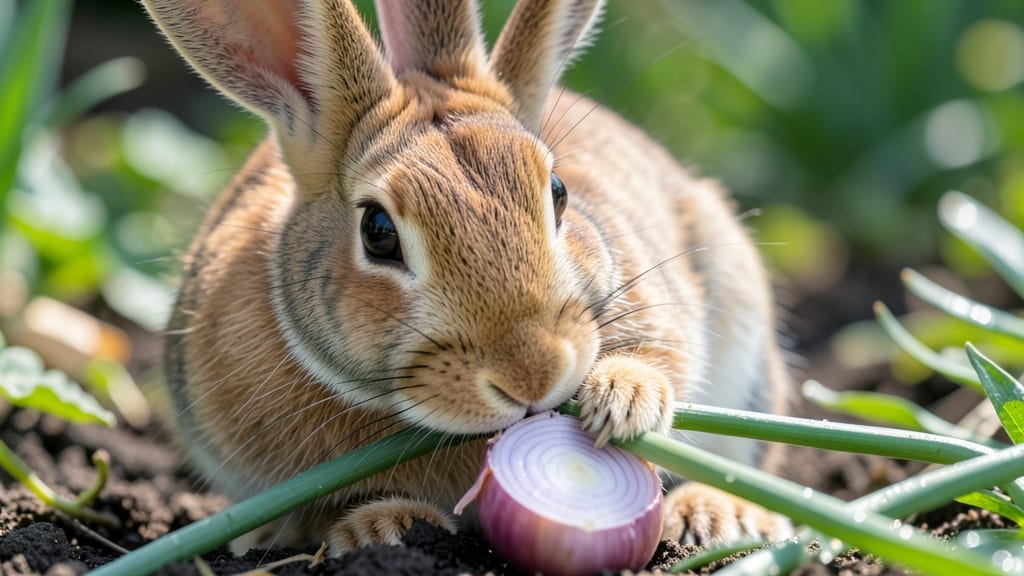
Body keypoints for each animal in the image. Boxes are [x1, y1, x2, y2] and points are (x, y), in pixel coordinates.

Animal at [145, 0, 792, 554]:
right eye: (377, 231)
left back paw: (718, 515)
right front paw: (382, 530)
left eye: (558, 192)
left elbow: (661, 359)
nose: (533, 375)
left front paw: (623, 399)